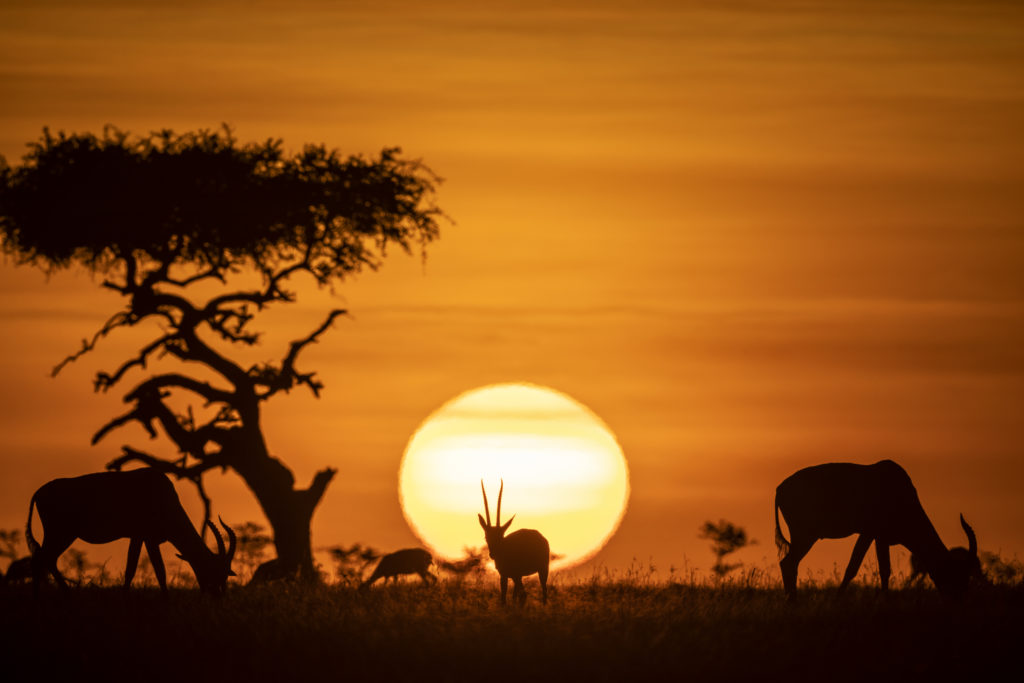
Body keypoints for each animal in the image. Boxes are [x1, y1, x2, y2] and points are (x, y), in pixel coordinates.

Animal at [27, 471, 237, 598]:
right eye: (214, 568)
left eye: (226, 573)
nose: (218, 597)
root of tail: (38, 493)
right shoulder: (145, 538)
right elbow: (154, 570)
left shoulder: (143, 539)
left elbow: (137, 569)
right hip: (61, 534)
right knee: (42, 559)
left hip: (61, 535)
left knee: (45, 559)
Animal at [774, 462, 983, 602]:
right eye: (954, 574)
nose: (956, 602)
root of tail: (780, 489)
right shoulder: (873, 534)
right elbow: (866, 568)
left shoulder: (875, 537)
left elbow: (873, 569)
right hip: (806, 537)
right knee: (788, 563)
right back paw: (792, 602)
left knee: (789, 563)